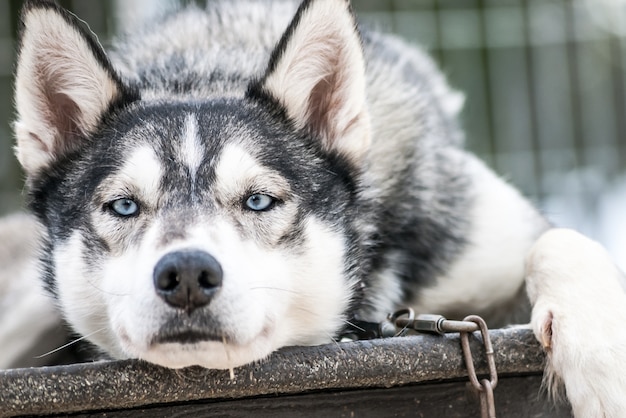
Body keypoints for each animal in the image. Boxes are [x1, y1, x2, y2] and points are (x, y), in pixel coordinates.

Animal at [9, 0, 624, 414]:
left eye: (259, 200)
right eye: (123, 207)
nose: (185, 273)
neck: (208, 65)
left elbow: (560, 240)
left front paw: (602, 362)